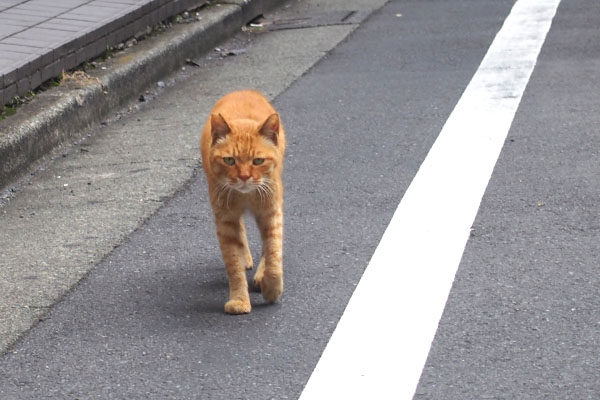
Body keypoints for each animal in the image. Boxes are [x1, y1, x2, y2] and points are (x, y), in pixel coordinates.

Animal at [200, 90, 288, 316]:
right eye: (229, 160)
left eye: (258, 161)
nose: (244, 177)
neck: (246, 196)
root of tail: (244, 90)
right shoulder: (225, 219)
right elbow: (233, 264)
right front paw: (239, 300)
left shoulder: (270, 212)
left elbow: (273, 251)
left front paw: (271, 288)